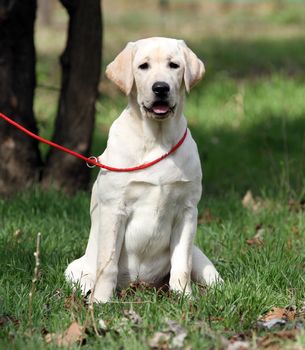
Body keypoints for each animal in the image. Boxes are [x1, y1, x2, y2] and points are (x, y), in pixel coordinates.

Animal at [64, 37, 221, 300]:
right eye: (143, 66)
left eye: (174, 65)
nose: (161, 88)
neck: (156, 139)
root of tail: (140, 285)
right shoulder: (114, 209)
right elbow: (107, 264)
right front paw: (101, 301)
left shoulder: (187, 210)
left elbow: (181, 263)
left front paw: (185, 298)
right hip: (74, 268)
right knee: (87, 274)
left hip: (201, 257)